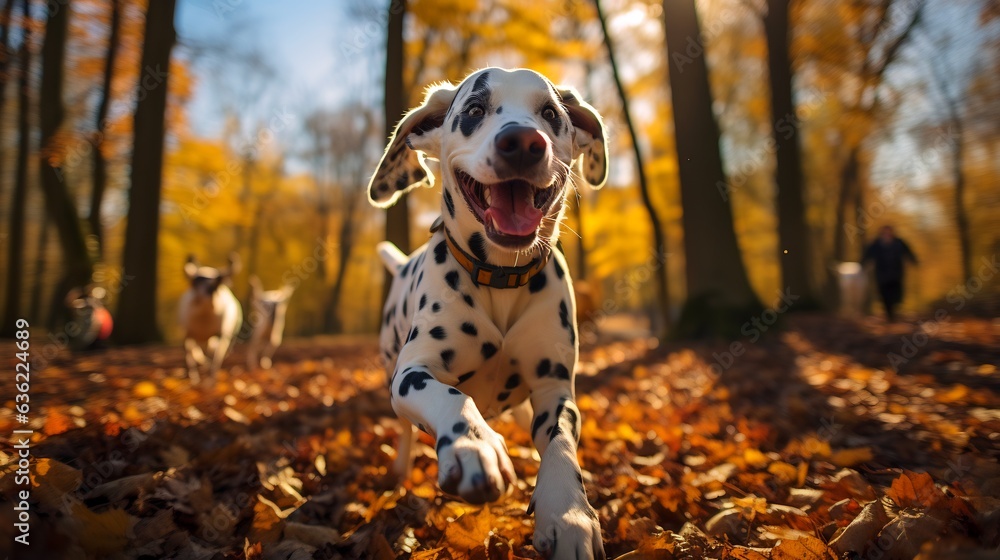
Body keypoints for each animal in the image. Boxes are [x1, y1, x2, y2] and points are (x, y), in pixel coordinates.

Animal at [372, 69, 608, 560]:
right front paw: (472, 444)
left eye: (550, 113)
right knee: (404, 431)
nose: (523, 142)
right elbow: (449, 396)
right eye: (475, 110)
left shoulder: (554, 389)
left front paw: (568, 513)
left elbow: (560, 445)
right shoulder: (413, 373)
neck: (500, 277)